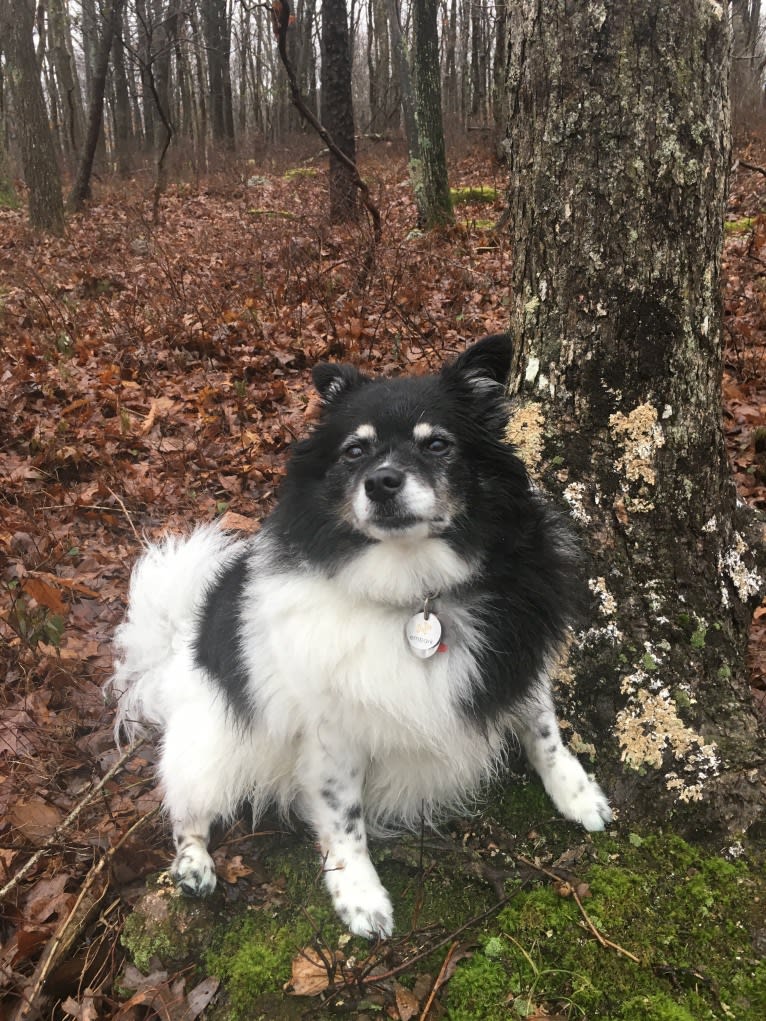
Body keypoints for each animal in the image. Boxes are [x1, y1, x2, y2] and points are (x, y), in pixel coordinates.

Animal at [108, 336, 612, 939]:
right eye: (354, 452)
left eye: (438, 444)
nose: (382, 482)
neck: (416, 593)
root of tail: (176, 650)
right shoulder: (331, 732)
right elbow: (344, 819)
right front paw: (359, 895)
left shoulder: (518, 657)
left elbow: (544, 733)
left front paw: (577, 794)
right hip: (211, 744)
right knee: (186, 810)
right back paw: (194, 865)